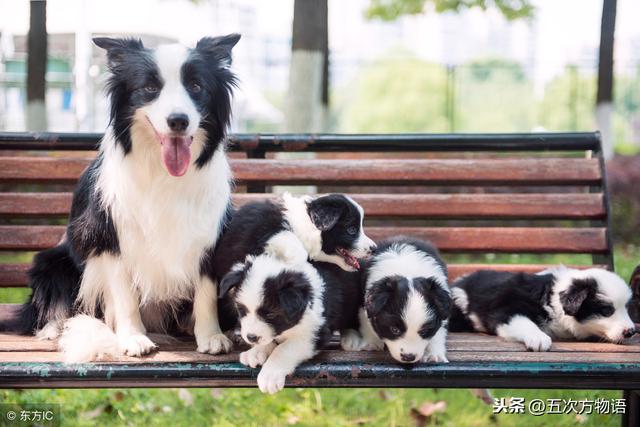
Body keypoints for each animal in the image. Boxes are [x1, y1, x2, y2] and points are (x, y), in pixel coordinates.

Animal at [0, 34, 240, 362]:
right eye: (150, 88)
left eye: (196, 86)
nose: (178, 120)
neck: (162, 173)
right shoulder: (110, 237)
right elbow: (125, 296)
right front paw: (133, 337)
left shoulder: (208, 235)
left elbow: (205, 292)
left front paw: (210, 335)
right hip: (52, 263)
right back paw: (54, 329)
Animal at [219, 254, 360, 394]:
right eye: (242, 310)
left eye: (271, 314)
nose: (251, 337)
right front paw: (256, 352)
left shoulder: (315, 333)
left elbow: (284, 349)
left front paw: (270, 375)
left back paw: (352, 339)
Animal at [448, 268, 636, 352]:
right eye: (606, 311)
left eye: (627, 308)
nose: (631, 332)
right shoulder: (506, 310)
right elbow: (524, 322)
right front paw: (539, 338)